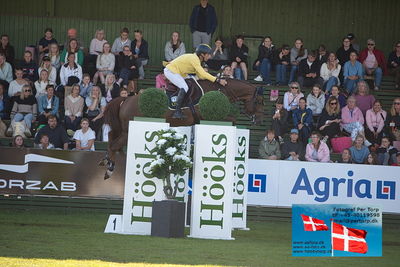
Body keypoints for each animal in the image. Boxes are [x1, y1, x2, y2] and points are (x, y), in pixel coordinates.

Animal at [99, 78, 266, 181]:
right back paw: (109, 169)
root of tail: (126, 99)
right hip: (127, 131)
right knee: (114, 144)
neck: (218, 90)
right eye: (258, 101)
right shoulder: (209, 115)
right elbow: (232, 119)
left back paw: (106, 160)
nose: (259, 120)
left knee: (111, 137)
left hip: (123, 129)